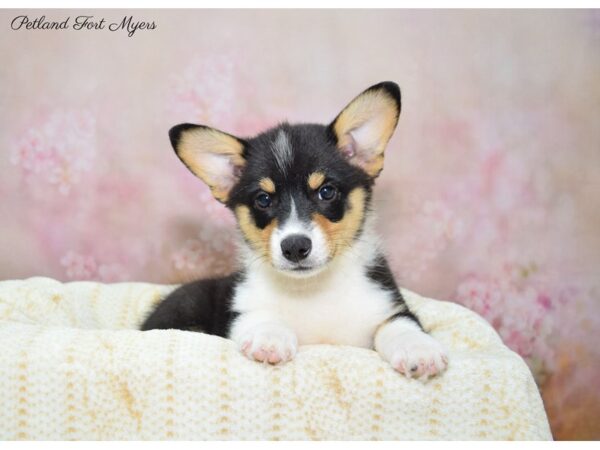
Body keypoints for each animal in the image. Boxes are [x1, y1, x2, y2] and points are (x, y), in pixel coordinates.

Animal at [142, 81, 446, 380]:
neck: (312, 289)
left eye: (326, 191)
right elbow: (261, 316)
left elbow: (401, 325)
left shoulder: (388, 307)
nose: (295, 247)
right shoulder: (241, 310)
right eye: (263, 199)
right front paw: (269, 339)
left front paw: (419, 351)